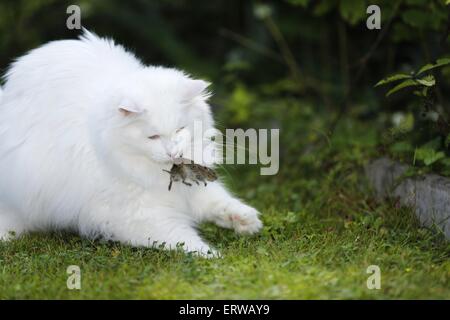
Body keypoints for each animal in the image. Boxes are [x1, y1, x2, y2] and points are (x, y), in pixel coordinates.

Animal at [0, 30, 262, 258]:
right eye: (153, 137)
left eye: (180, 129)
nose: (173, 153)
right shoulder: (136, 216)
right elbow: (182, 238)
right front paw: (213, 257)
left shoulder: (191, 186)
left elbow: (219, 201)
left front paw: (246, 221)